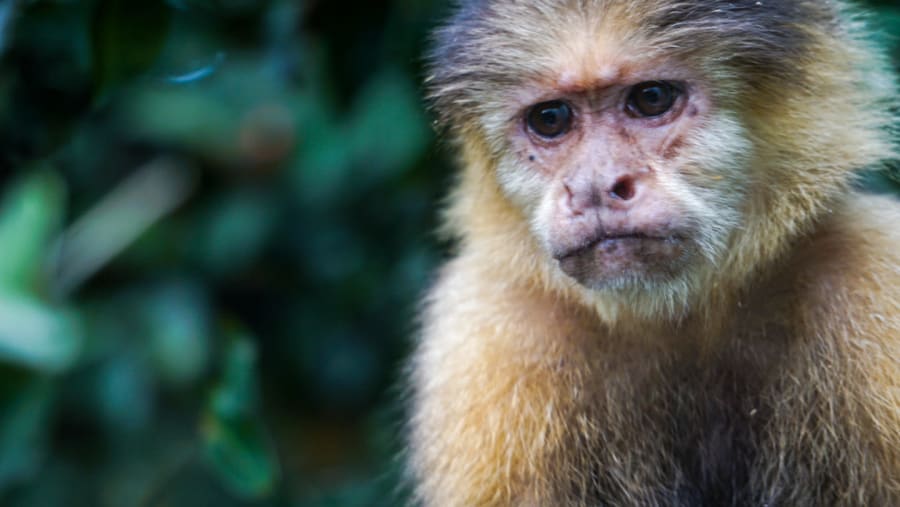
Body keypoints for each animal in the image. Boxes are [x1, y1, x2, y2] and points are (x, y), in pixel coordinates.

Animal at [406, 0, 900, 505]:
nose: (594, 187)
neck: (681, 316)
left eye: (652, 98)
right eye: (550, 119)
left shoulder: (873, 275)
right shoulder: (490, 335)